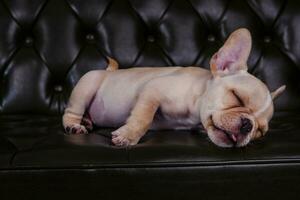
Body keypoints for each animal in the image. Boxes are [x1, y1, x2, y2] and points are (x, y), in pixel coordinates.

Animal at [62, 27, 284, 147]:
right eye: (236, 96)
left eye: (260, 132)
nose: (248, 125)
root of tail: (108, 72)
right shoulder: (152, 91)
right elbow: (143, 118)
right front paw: (128, 136)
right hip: (87, 86)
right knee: (71, 111)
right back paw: (74, 125)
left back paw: (87, 121)